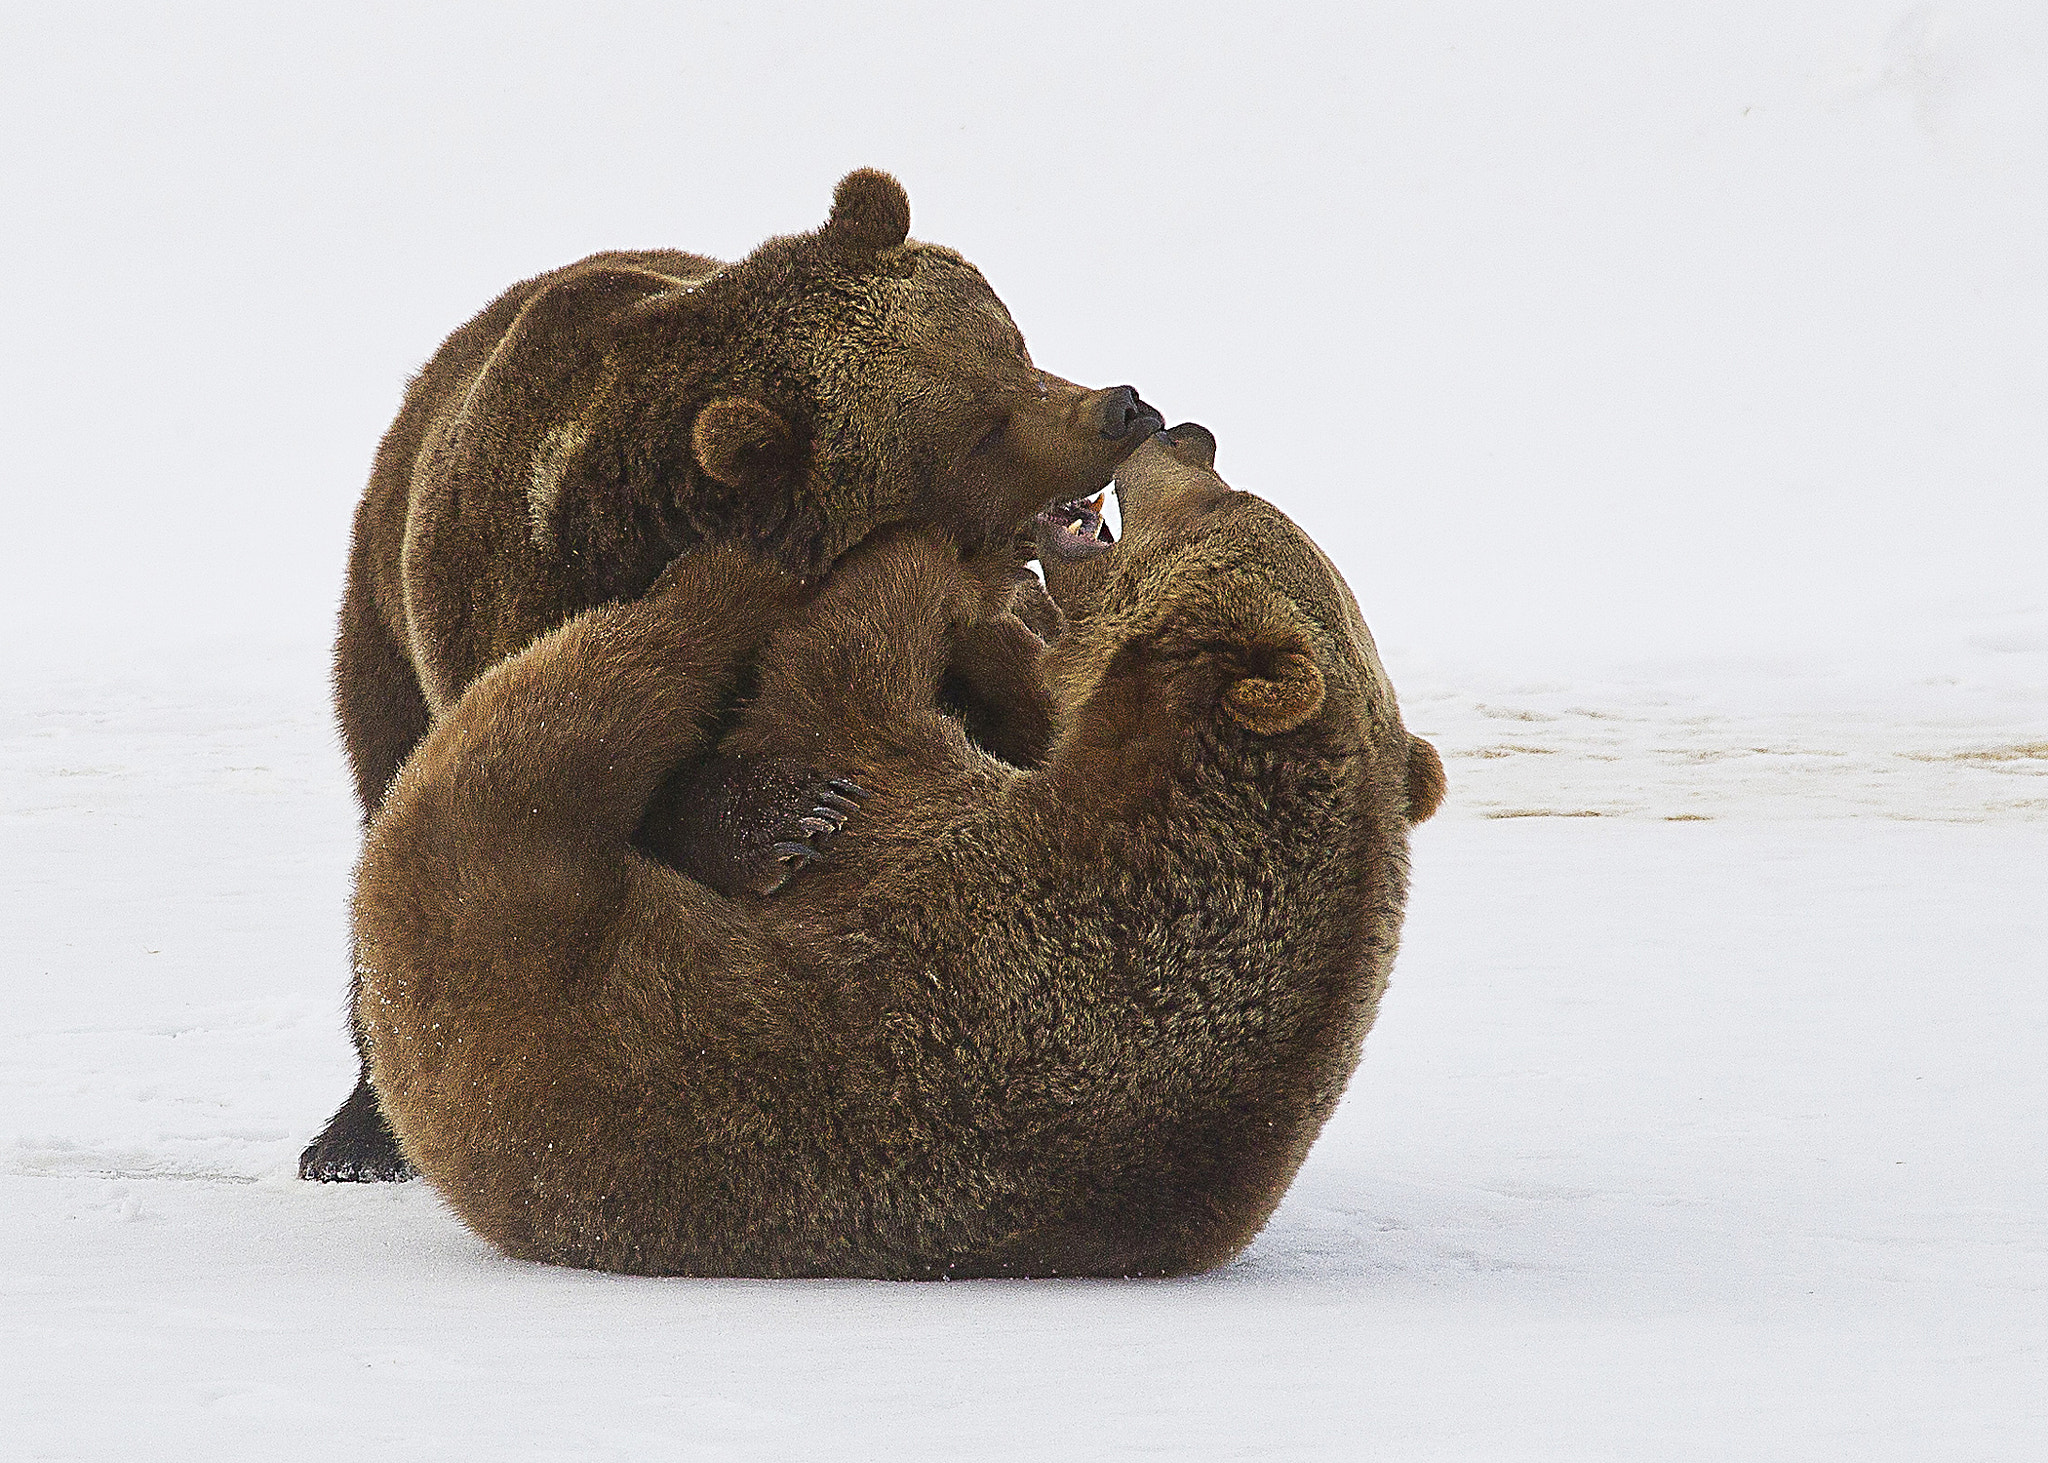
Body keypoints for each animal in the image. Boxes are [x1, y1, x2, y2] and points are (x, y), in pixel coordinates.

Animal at [303, 168, 1162, 1181]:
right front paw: (791, 816)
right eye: (981, 434)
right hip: (379, 636)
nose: (1123, 408)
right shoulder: (516, 602)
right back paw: (355, 1138)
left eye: (1014, 348)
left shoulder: (976, 633)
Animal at [349, 425, 1447, 1277]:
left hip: (496, 914)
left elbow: (840, 678)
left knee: (581, 703)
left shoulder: (954, 877)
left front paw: (930, 552)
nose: (1189, 433)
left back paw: (739, 575)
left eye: (1223, 502)